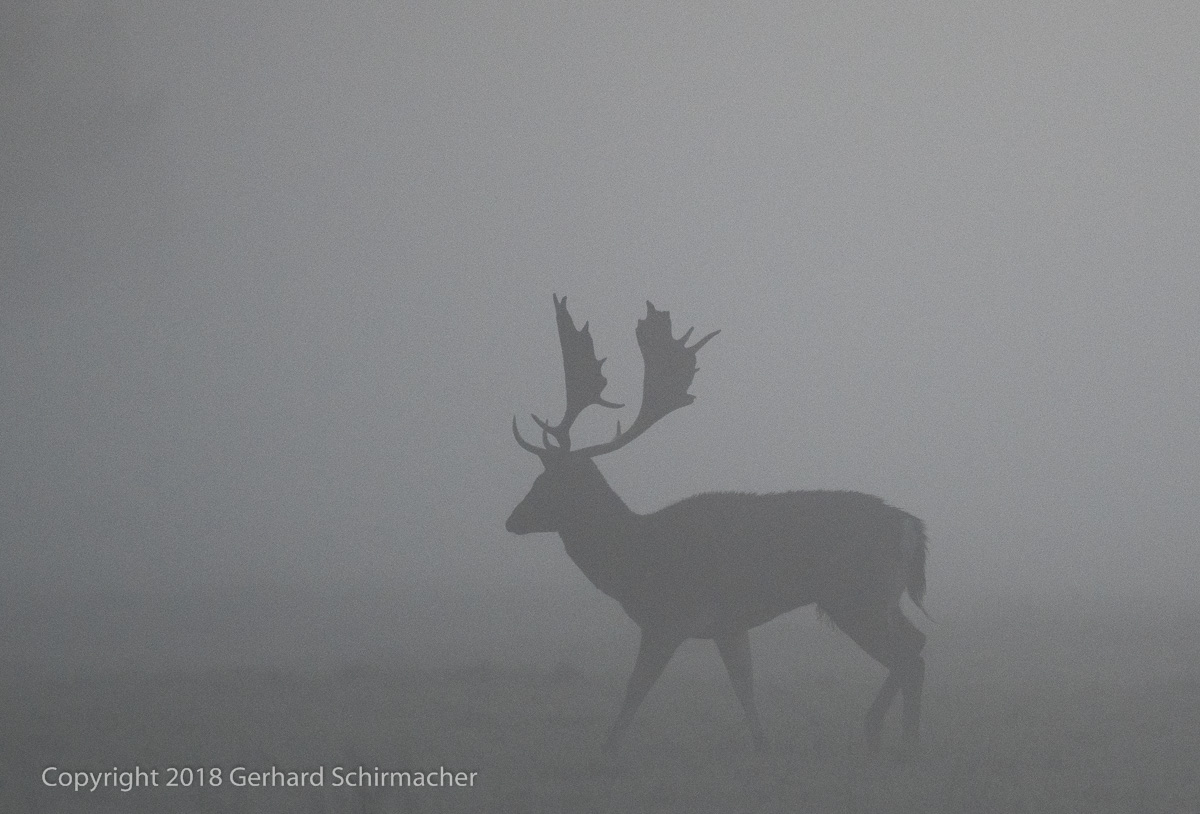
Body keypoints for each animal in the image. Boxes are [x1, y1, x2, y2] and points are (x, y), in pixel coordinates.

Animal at [504, 296, 926, 753]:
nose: (512, 520)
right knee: (917, 643)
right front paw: (763, 745)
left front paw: (609, 747)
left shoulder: (669, 617)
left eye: (553, 483)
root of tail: (910, 525)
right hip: (879, 596)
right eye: (537, 478)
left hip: (857, 596)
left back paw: (890, 735)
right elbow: (744, 686)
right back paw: (894, 734)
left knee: (908, 654)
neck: (635, 559)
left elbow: (637, 687)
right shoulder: (729, 624)